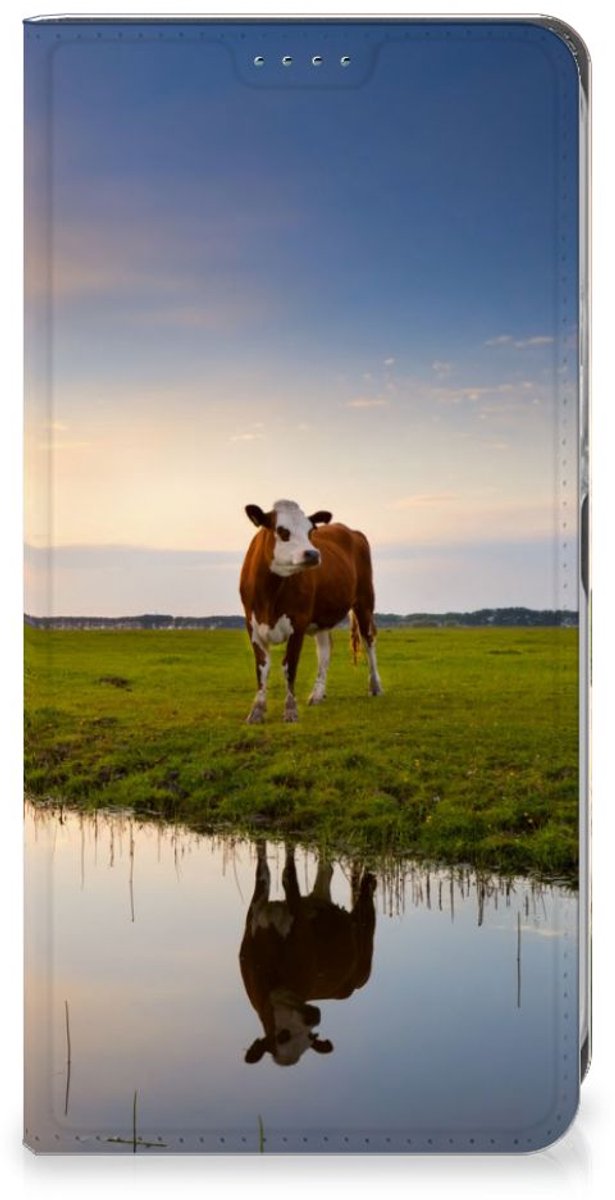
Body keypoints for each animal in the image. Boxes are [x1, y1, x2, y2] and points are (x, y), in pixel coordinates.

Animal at [239, 499, 382, 723]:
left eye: (310, 531)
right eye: (282, 531)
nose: (313, 554)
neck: (269, 595)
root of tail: (351, 531)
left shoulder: (298, 623)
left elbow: (289, 666)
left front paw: (290, 710)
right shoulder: (252, 625)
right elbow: (262, 668)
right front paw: (257, 710)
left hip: (365, 601)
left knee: (369, 640)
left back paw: (375, 686)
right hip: (322, 618)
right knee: (325, 650)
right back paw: (317, 694)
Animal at [239, 842, 377, 1067]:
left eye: (311, 1037)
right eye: (282, 1036)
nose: (314, 1017)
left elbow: (288, 875)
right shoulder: (256, 912)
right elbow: (263, 870)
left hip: (365, 940)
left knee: (365, 903)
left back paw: (370, 881)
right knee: (326, 869)